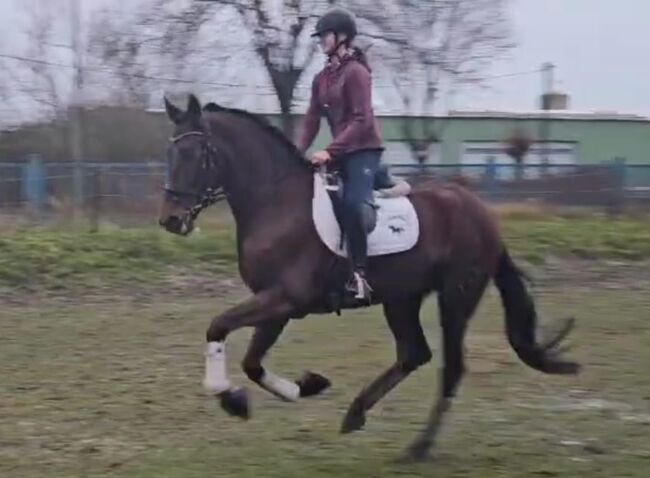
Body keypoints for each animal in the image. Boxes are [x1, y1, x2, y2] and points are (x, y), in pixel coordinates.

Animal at [158, 94, 576, 464]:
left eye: (195, 153)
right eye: (171, 152)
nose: (170, 220)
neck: (276, 201)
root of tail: (483, 214)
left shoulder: (284, 299)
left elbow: (219, 326)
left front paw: (228, 395)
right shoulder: (276, 304)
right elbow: (252, 363)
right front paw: (303, 386)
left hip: (456, 297)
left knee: (450, 368)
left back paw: (418, 449)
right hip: (402, 298)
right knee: (413, 354)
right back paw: (356, 413)